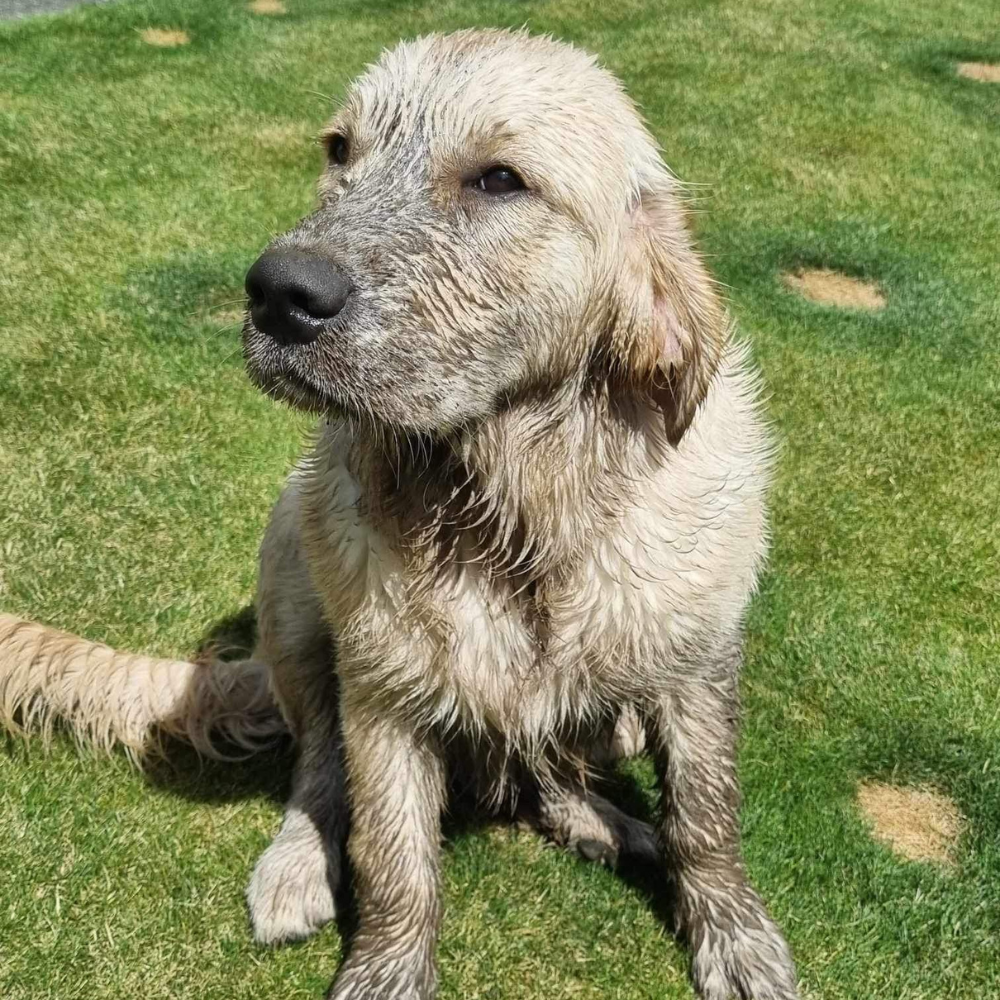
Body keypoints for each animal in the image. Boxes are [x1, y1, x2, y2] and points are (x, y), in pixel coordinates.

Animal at [0, 29, 796, 1000]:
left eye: (499, 179)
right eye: (340, 150)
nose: (278, 292)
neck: (510, 509)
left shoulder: (695, 670)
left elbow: (707, 817)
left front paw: (736, 938)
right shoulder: (386, 692)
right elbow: (393, 858)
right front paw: (385, 965)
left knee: (550, 766)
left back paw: (600, 821)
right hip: (296, 590)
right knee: (317, 767)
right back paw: (297, 865)